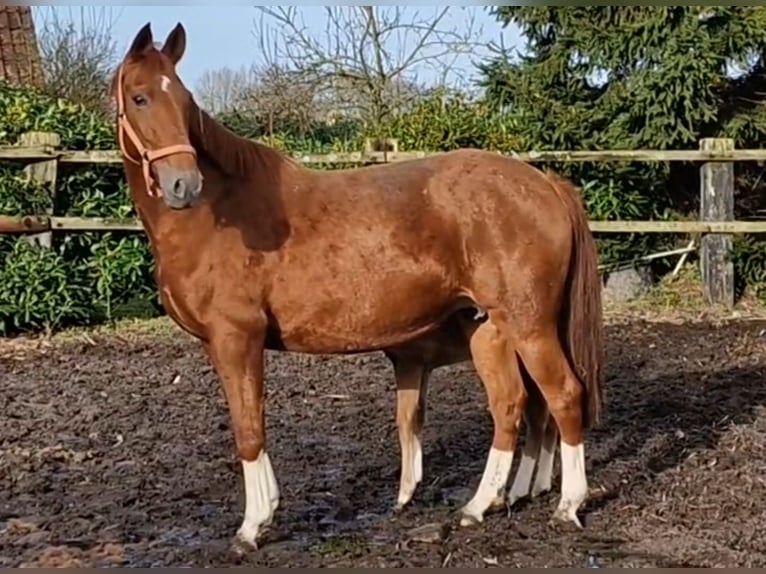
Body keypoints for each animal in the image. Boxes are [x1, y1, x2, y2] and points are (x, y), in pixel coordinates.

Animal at [110, 22, 604, 550]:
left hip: (529, 326)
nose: (184, 183)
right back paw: (482, 506)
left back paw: (568, 506)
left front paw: (253, 525)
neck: (219, 216)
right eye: (140, 97)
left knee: (563, 395)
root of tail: (545, 183)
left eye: (183, 101)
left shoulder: (236, 339)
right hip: (493, 331)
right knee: (516, 404)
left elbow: (249, 427)